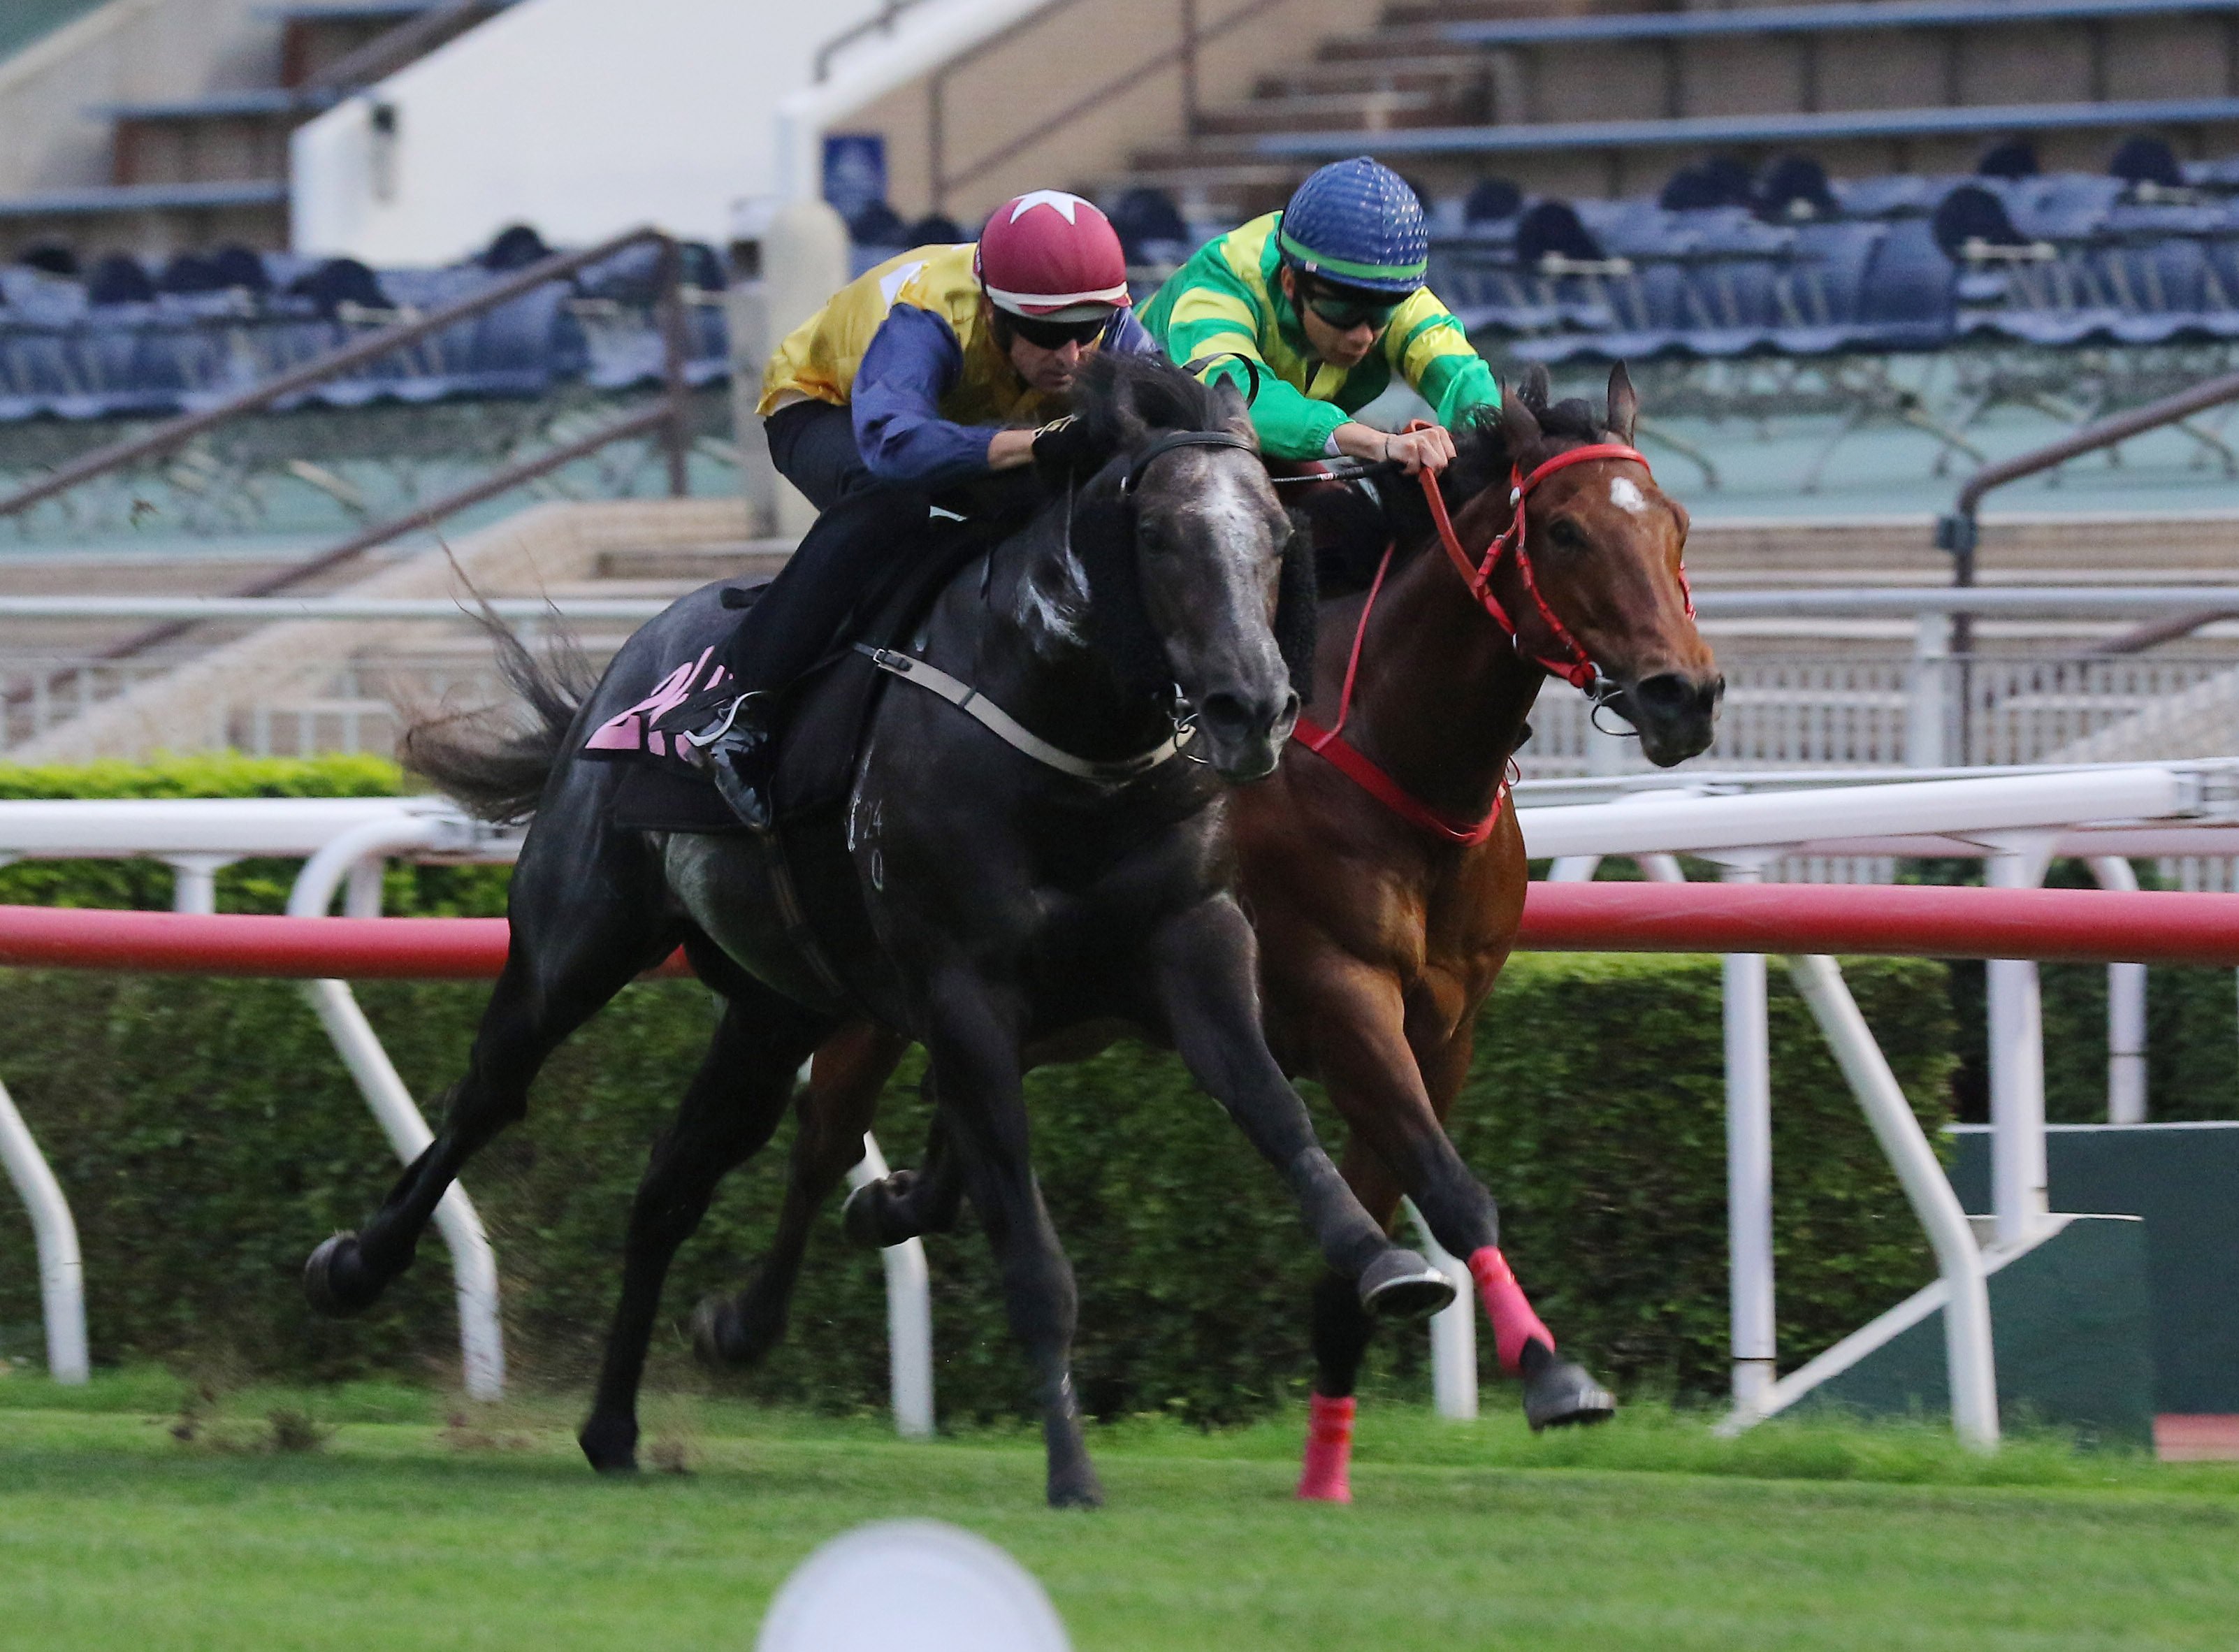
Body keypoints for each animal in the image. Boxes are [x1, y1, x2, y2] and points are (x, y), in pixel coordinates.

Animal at [302, 354, 1451, 1495]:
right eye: (1161, 536)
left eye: (1277, 538)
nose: (1252, 709)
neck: (1069, 739)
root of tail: (629, 664)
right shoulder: (964, 993)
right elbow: (1026, 1240)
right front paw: (1071, 1470)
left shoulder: (1192, 940)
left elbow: (1274, 1109)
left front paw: (1384, 1261)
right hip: (577, 936)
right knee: (493, 1092)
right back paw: (355, 1266)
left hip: (775, 1006)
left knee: (675, 1180)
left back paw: (615, 1425)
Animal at [698, 362, 1710, 1495]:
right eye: (1568, 532)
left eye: (1673, 525)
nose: (1686, 693)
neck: (1391, 757)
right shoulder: (1339, 995)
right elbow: (1451, 1189)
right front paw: (1553, 1375)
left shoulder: (1443, 1028)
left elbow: (1390, 1219)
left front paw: (1331, 1467)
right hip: (886, 992)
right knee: (825, 1137)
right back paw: (748, 1311)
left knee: (954, 1126)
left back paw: (900, 1202)